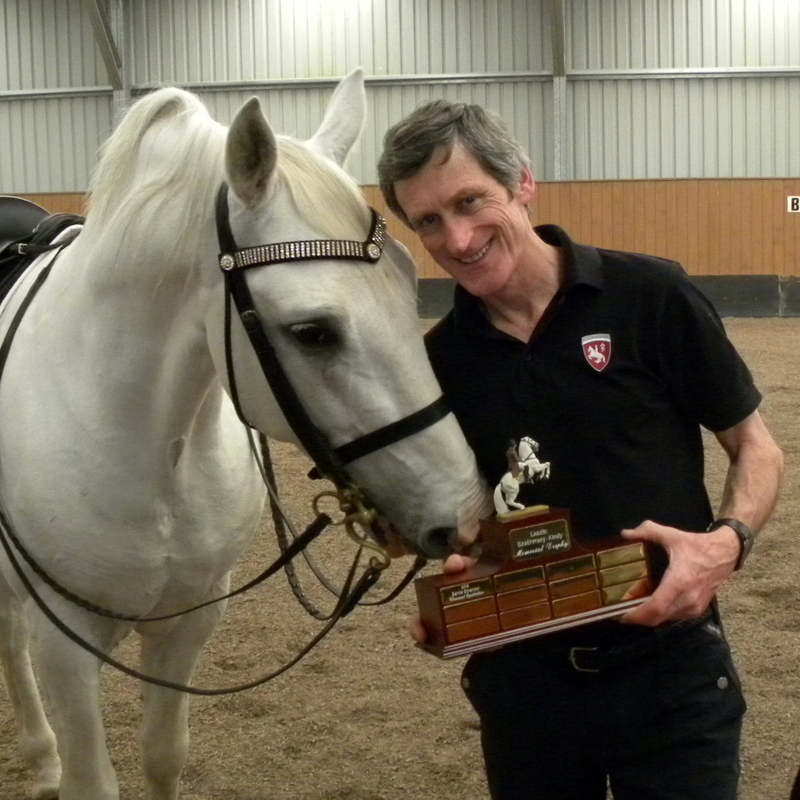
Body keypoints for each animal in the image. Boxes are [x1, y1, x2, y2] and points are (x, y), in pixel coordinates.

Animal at [0, 70, 488, 800]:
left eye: (410, 288)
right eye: (313, 331)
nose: (462, 513)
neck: (151, 446)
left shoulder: (191, 618)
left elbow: (164, 755)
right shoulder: (64, 641)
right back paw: (43, 758)